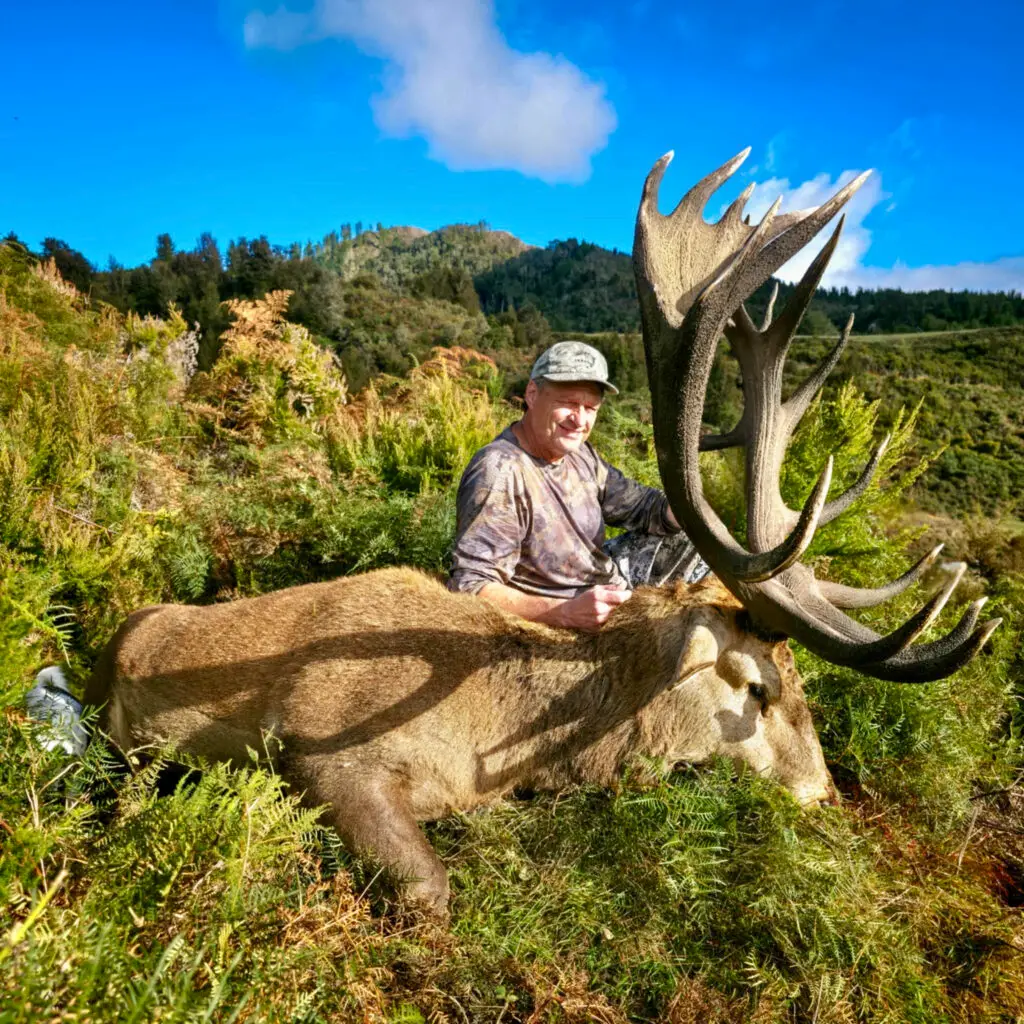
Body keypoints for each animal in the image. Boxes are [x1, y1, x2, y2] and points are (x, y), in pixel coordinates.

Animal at [58, 148, 998, 918]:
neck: (497, 745)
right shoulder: (322, 749)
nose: (824, 794)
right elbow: (430, 890)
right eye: (759, 688)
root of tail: (117, 635)